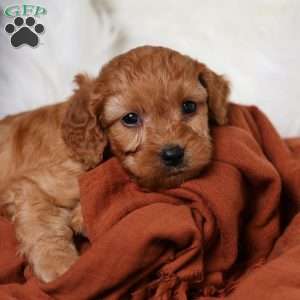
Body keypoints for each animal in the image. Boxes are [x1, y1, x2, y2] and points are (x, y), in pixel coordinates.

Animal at [0, 45, 230, 282]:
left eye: (189, 106)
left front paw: (80, 217)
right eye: (130, 118)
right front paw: (60, 267)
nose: (173, 154)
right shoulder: (28, 186)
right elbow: (41, 224)